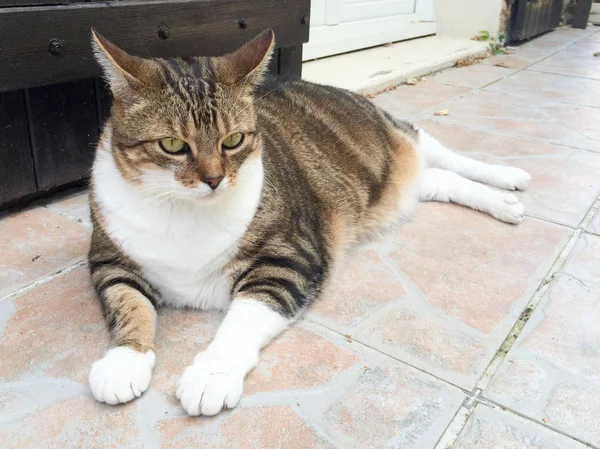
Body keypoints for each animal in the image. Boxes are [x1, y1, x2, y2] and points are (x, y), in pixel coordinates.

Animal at [88, 29, 528, 416]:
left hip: (396, 133)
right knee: (439, 180)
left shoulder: (290, 259)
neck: (183, 210)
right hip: (404, 184)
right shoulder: (109, 260)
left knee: (444, 154)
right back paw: (500, 198)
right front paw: (123, 363)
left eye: (234, 140)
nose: (214, 179)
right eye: (173, 145)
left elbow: (242, 320)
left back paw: (508, 182)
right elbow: (127, 304)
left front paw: (211, 375)